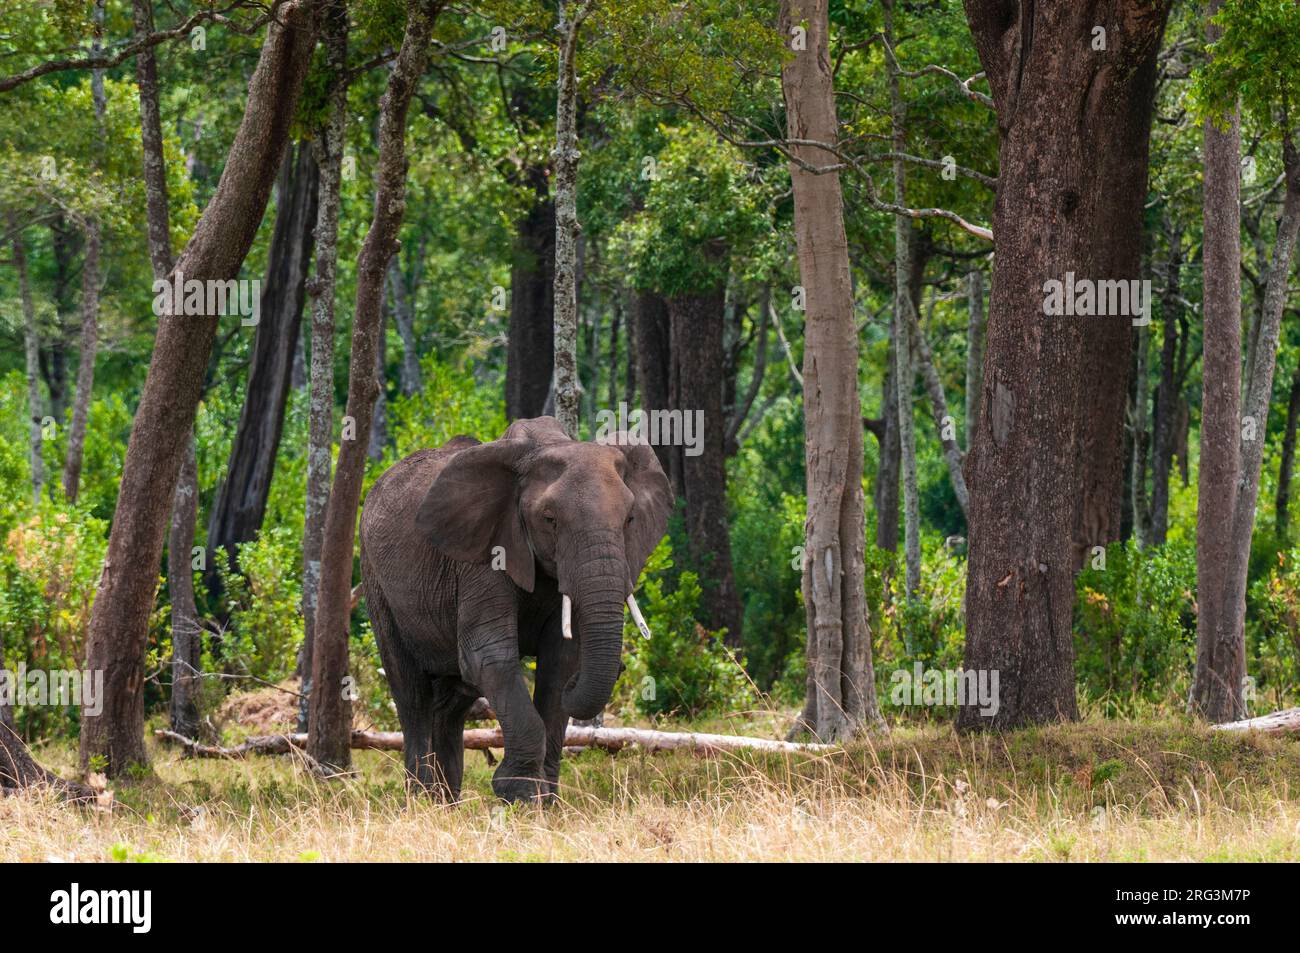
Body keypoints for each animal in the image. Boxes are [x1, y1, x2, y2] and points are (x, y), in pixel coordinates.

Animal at [364, 416, 676, 800]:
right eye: (549, 519)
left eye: (630, 519)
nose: (620, 667)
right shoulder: (483, 554)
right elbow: (489, 656)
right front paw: (519, 795)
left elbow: (560, 662)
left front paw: (547, 801)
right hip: (377, 583)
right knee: (411, 694)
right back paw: (421, 800)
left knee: (451, 703)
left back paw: (445, 801)